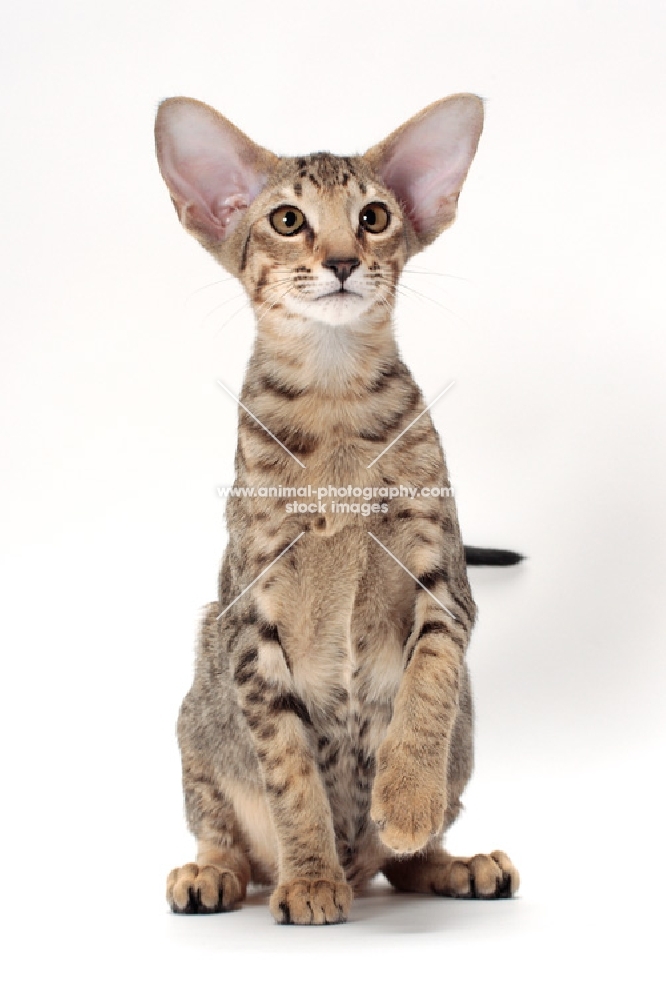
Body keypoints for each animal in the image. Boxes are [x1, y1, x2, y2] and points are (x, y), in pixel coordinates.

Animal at [154, 94, 520, 920]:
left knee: (403, 863)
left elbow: (429, 686)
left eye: (375, 217)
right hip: (199, 714)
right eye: (288, 220)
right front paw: (311, 877)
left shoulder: (442, 579)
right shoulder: (250, 619)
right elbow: (290, 772)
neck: (333, 394)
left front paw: (406, 795)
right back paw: (218, 874)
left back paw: (455, 862)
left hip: (465, 747)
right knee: (223, 828)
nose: (344, 261)